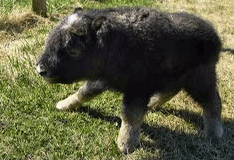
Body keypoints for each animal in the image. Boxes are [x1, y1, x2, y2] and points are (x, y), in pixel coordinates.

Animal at [35, 6, 224, 153]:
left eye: (73, 50)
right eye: (50, 40)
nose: (40, 69)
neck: (114, 45)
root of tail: (215, 36)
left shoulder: (137, 89)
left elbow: (130, 115)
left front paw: (125, 145)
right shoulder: (101, 79)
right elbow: (84, 92)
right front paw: (63, 105)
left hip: (201, 80)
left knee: (212, 102)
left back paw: (214, 134)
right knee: (172, 90)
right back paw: (153, 104)